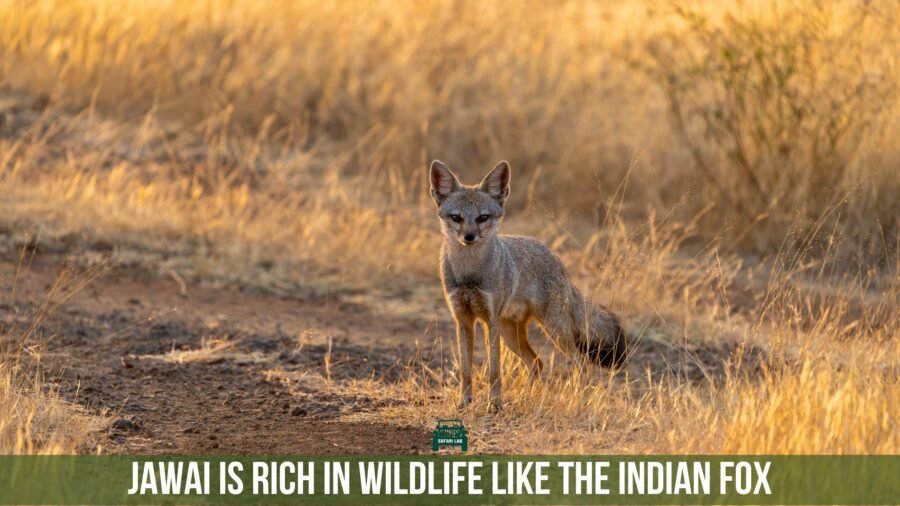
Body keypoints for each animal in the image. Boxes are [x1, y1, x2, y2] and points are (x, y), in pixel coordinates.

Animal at [430, 160, 627, 412]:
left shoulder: (490, 321)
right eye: (456, 217)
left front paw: (494, 405)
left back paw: (578, 400)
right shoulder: (463, 320)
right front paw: (463, 403)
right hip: (512, 334)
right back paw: (525, 398)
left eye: (483, 217)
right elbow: (466, 371)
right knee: (536, 363)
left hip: (553, 330)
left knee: (581, 364)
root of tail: (556, 259)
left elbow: (494, 371)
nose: (469, 237)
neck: (469, 274)